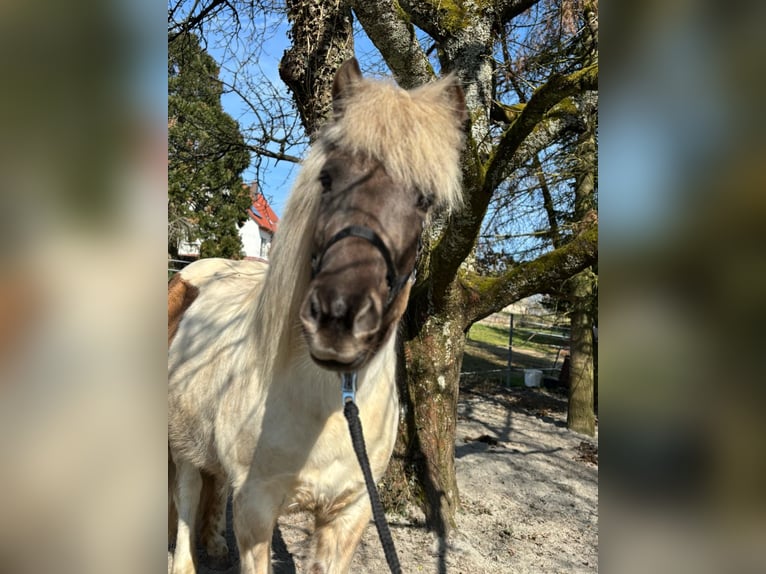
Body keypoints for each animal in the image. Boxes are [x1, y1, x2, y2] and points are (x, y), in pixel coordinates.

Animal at [169, 59, 468, 574]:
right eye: (327, 179)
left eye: (425, 200)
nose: (339, 319)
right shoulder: (255, 510)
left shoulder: (349, 514)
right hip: (183, 440)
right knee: (188, 498)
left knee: (213, 484)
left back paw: (215, 544)